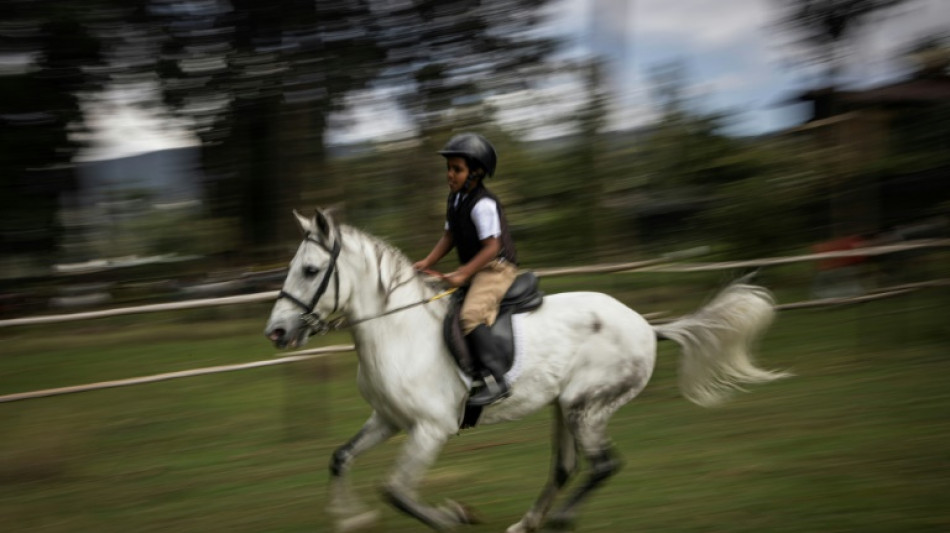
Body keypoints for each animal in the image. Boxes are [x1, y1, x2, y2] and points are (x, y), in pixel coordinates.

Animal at [266, 209, 788, 532]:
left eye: (310, 270)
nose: (276, 331)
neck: (397, 331)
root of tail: (646, 326)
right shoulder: (388, 420)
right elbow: (340, 458)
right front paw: (351, 519)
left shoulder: (430, 429)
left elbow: (395, 489)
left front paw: (452, 516)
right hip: (564, 406)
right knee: (564, 467)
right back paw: (528, 522)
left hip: (586, 406)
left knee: (603, 464)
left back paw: (557, 520)